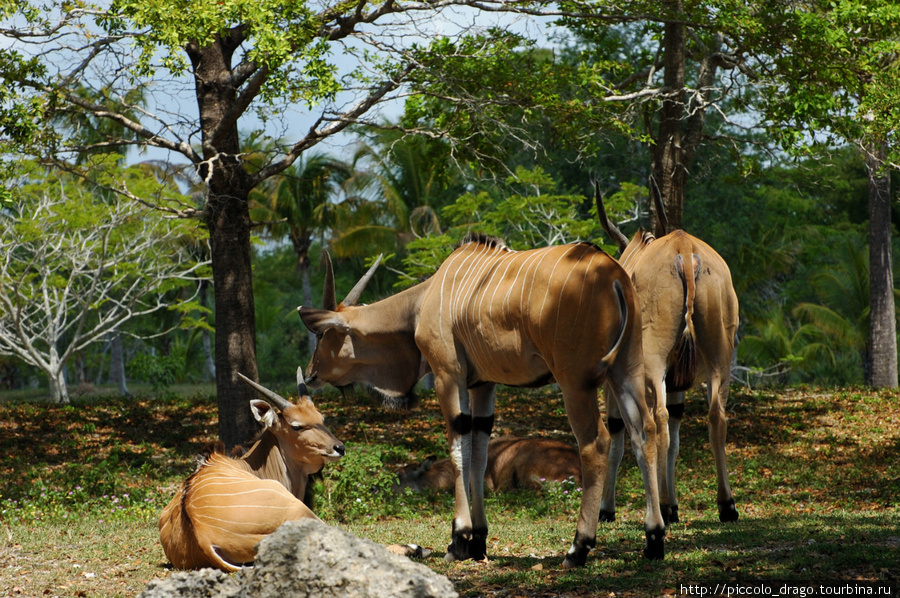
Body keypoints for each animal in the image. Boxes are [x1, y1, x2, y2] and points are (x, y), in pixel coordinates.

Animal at [596, 186, 740, 524]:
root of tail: (684, 249)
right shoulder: (677, 385)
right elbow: (674, 441)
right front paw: (673, 500)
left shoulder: (617, 383)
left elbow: (618, 436)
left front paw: (607, 507)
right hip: (719, 358)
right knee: (716, 415)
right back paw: (726, 504)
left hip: (654, 364)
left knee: (657, 419)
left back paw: (662, 506)